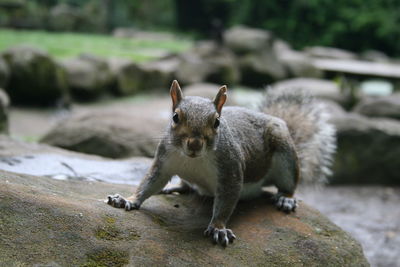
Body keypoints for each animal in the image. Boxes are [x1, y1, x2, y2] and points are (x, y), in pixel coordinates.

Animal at [106, 79, 334, 247]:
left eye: (216, 122)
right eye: (175, 117)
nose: (195, 144)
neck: (194, 160)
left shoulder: (230, 170)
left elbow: (226, 201)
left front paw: (218, 227)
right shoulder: (163, 161)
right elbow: (149, 183)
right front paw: (127, 199)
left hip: (285, 155)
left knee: (288, 184)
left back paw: (286, 198)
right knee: (186, 185)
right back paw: (176, 187)